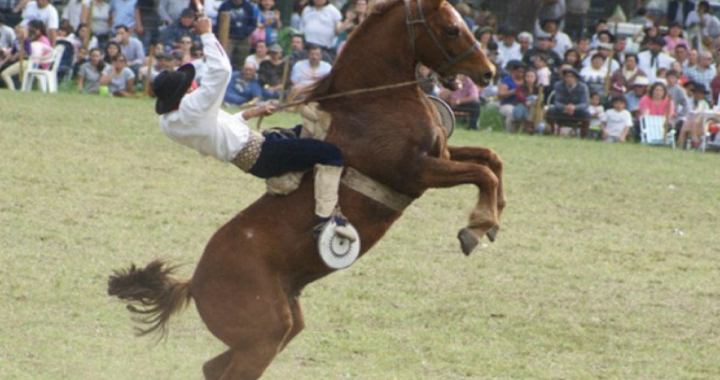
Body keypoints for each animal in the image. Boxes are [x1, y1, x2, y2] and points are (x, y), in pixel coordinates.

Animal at [109, 0, 506, 378]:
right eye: (452, 28)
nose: (488, 72)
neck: (370, 103)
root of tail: (192, 282)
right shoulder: (416, 172)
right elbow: (481, 173)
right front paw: (476, 227)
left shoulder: (441, 155)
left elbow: (491, 160)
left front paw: (496, 216)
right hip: (265, 337)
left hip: (283, 328)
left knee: (212, 367)